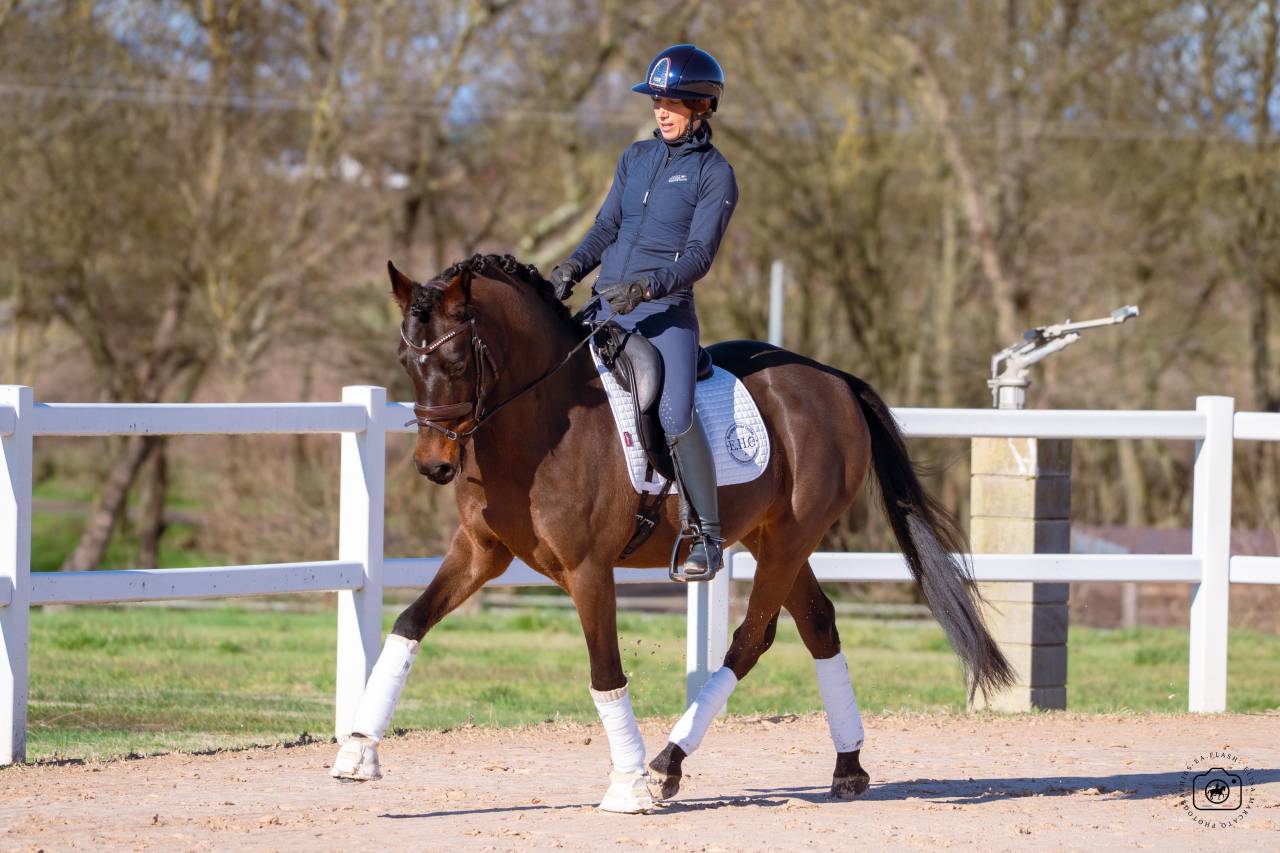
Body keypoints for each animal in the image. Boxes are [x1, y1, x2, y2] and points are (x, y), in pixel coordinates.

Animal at [330, 253, 1014, 812]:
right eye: (405, 361)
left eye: (453, 359)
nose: (434, 465)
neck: (541, 422)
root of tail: (832, 378)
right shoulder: (480, 553)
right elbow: (409, 623)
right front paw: (358, 749)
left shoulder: (587, 570)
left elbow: (605, 671)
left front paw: (628, 784)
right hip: (774, 540)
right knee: (818, 625)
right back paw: (847, 767)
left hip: (790, 540)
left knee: (750, 640)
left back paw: (666, 764)